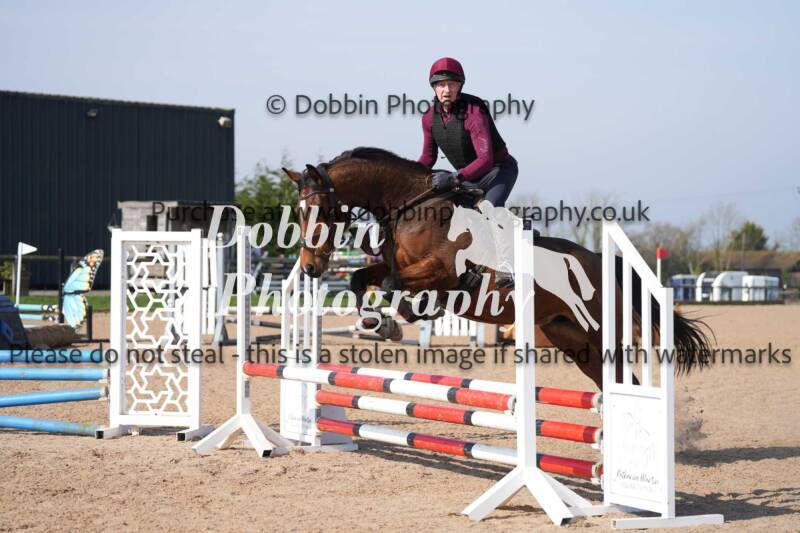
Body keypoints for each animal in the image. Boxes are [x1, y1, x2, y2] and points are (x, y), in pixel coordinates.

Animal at [283, 147, 711, 390]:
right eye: (299, 212)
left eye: (318, 210)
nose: (310, 267)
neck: (411, 206)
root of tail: (600, 261)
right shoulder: (392, 265)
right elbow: (362, 279)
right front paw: (378, 323)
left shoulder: (443, 273)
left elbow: (394, 286)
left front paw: (404, 317)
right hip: (570, 338)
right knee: (611, 382)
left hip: (601, 333)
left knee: (624, 379)